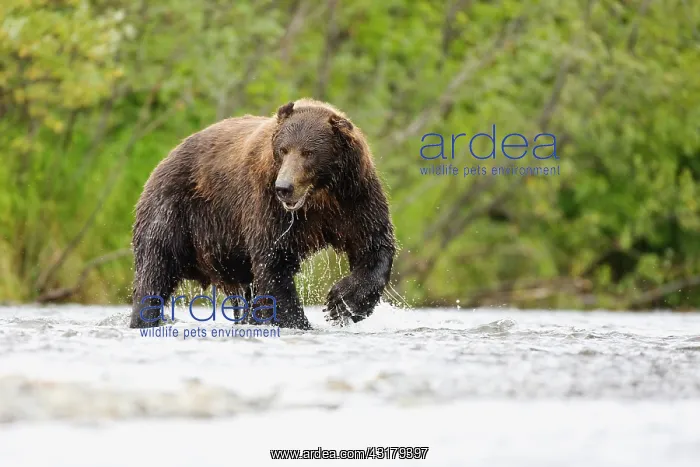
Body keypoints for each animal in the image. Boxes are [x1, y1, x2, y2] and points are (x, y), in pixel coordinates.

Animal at [129, 98, 396, 330]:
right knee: (156, 266)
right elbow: (273, 261)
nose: (284, 187)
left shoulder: (354, 197)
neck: (318, 197)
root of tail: (164, 159)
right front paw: (298, 321)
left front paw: (342, 303)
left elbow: (372, 243)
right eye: (283, 149)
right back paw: (145, 318)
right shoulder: (267, 204)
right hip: (174, 210)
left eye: (308, 152)